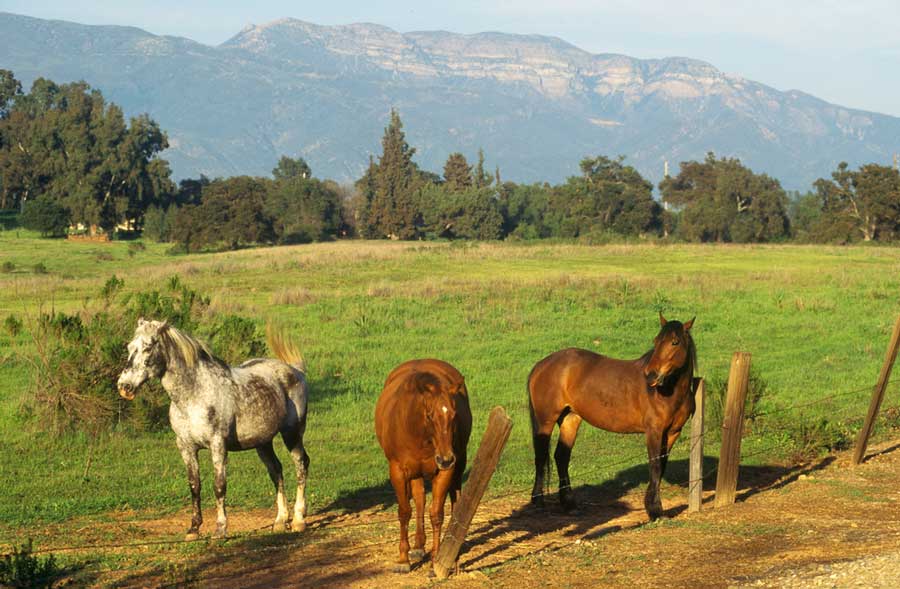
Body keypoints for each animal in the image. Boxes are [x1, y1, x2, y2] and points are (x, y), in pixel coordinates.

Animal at [116, 318, 310, 539]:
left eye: (148, 347)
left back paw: (298, 520)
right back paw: (279, 522)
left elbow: (219, 486)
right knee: (276, 470)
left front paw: (220, 529)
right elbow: (194, 486)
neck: (194, 395)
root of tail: (295, 371)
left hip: (292, 434)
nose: (124, 387)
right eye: (130, 347)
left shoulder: (218, 445)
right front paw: (193, 529)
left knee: (301, 465)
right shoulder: (186, 447)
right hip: (263, 442)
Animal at [374, 359, 472, 573]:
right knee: (419, 498)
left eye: (454, 415)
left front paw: (437, 559)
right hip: (415, 473)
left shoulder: (445, 472)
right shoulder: (398, 472)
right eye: (429, 415)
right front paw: (403, 559)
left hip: (458, 465)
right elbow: (404, 512)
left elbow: (436, 514)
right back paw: (418, 546)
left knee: (455, 498)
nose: (446, 459)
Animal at [528, 313, 696, 520]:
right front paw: (655, 510)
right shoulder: (654, 432)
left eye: (675, 342)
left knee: (561, 457)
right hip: (546, 421)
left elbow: (662, 465)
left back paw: (569, 504)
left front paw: (654, 508)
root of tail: (541, 365)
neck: (668, 391)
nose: (650, 375)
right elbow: (655, 465)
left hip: (570, 419)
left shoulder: (673, 432)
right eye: (656, 341)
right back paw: (538, 501)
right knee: (541, 456)